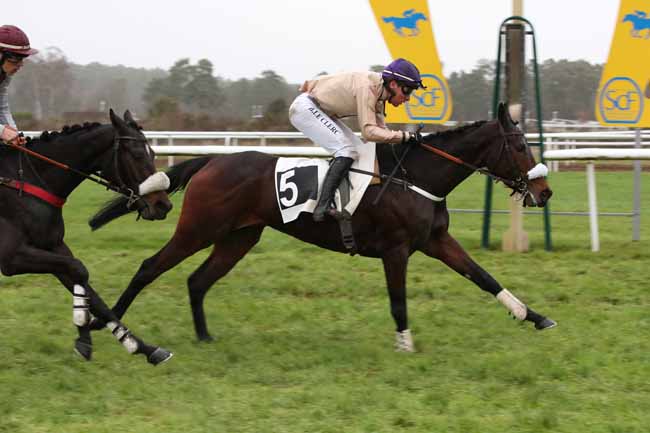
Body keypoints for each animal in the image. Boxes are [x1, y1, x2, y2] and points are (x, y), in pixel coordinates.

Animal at [0, 110, 174, 364]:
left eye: (152, 153)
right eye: (137, 154)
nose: (163, 204)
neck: (26, 181)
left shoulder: (53, 246)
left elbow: (91, 292)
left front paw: (140, 346)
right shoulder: (11, 258)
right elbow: (79, 269)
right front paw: (83, 337)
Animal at [89, 102, 556, 352]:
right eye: (519, 145)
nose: (545, 190)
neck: (417, 176)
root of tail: (209, 161)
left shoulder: (437, 241)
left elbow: (484, 277)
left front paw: (534, 316)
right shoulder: (396, 249)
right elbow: (398, 301)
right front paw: (405, 345)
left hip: (239, 236)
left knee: (198, 280)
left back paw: (204, 337)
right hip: (197, 229)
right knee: (149, 267)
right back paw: (106, 325)